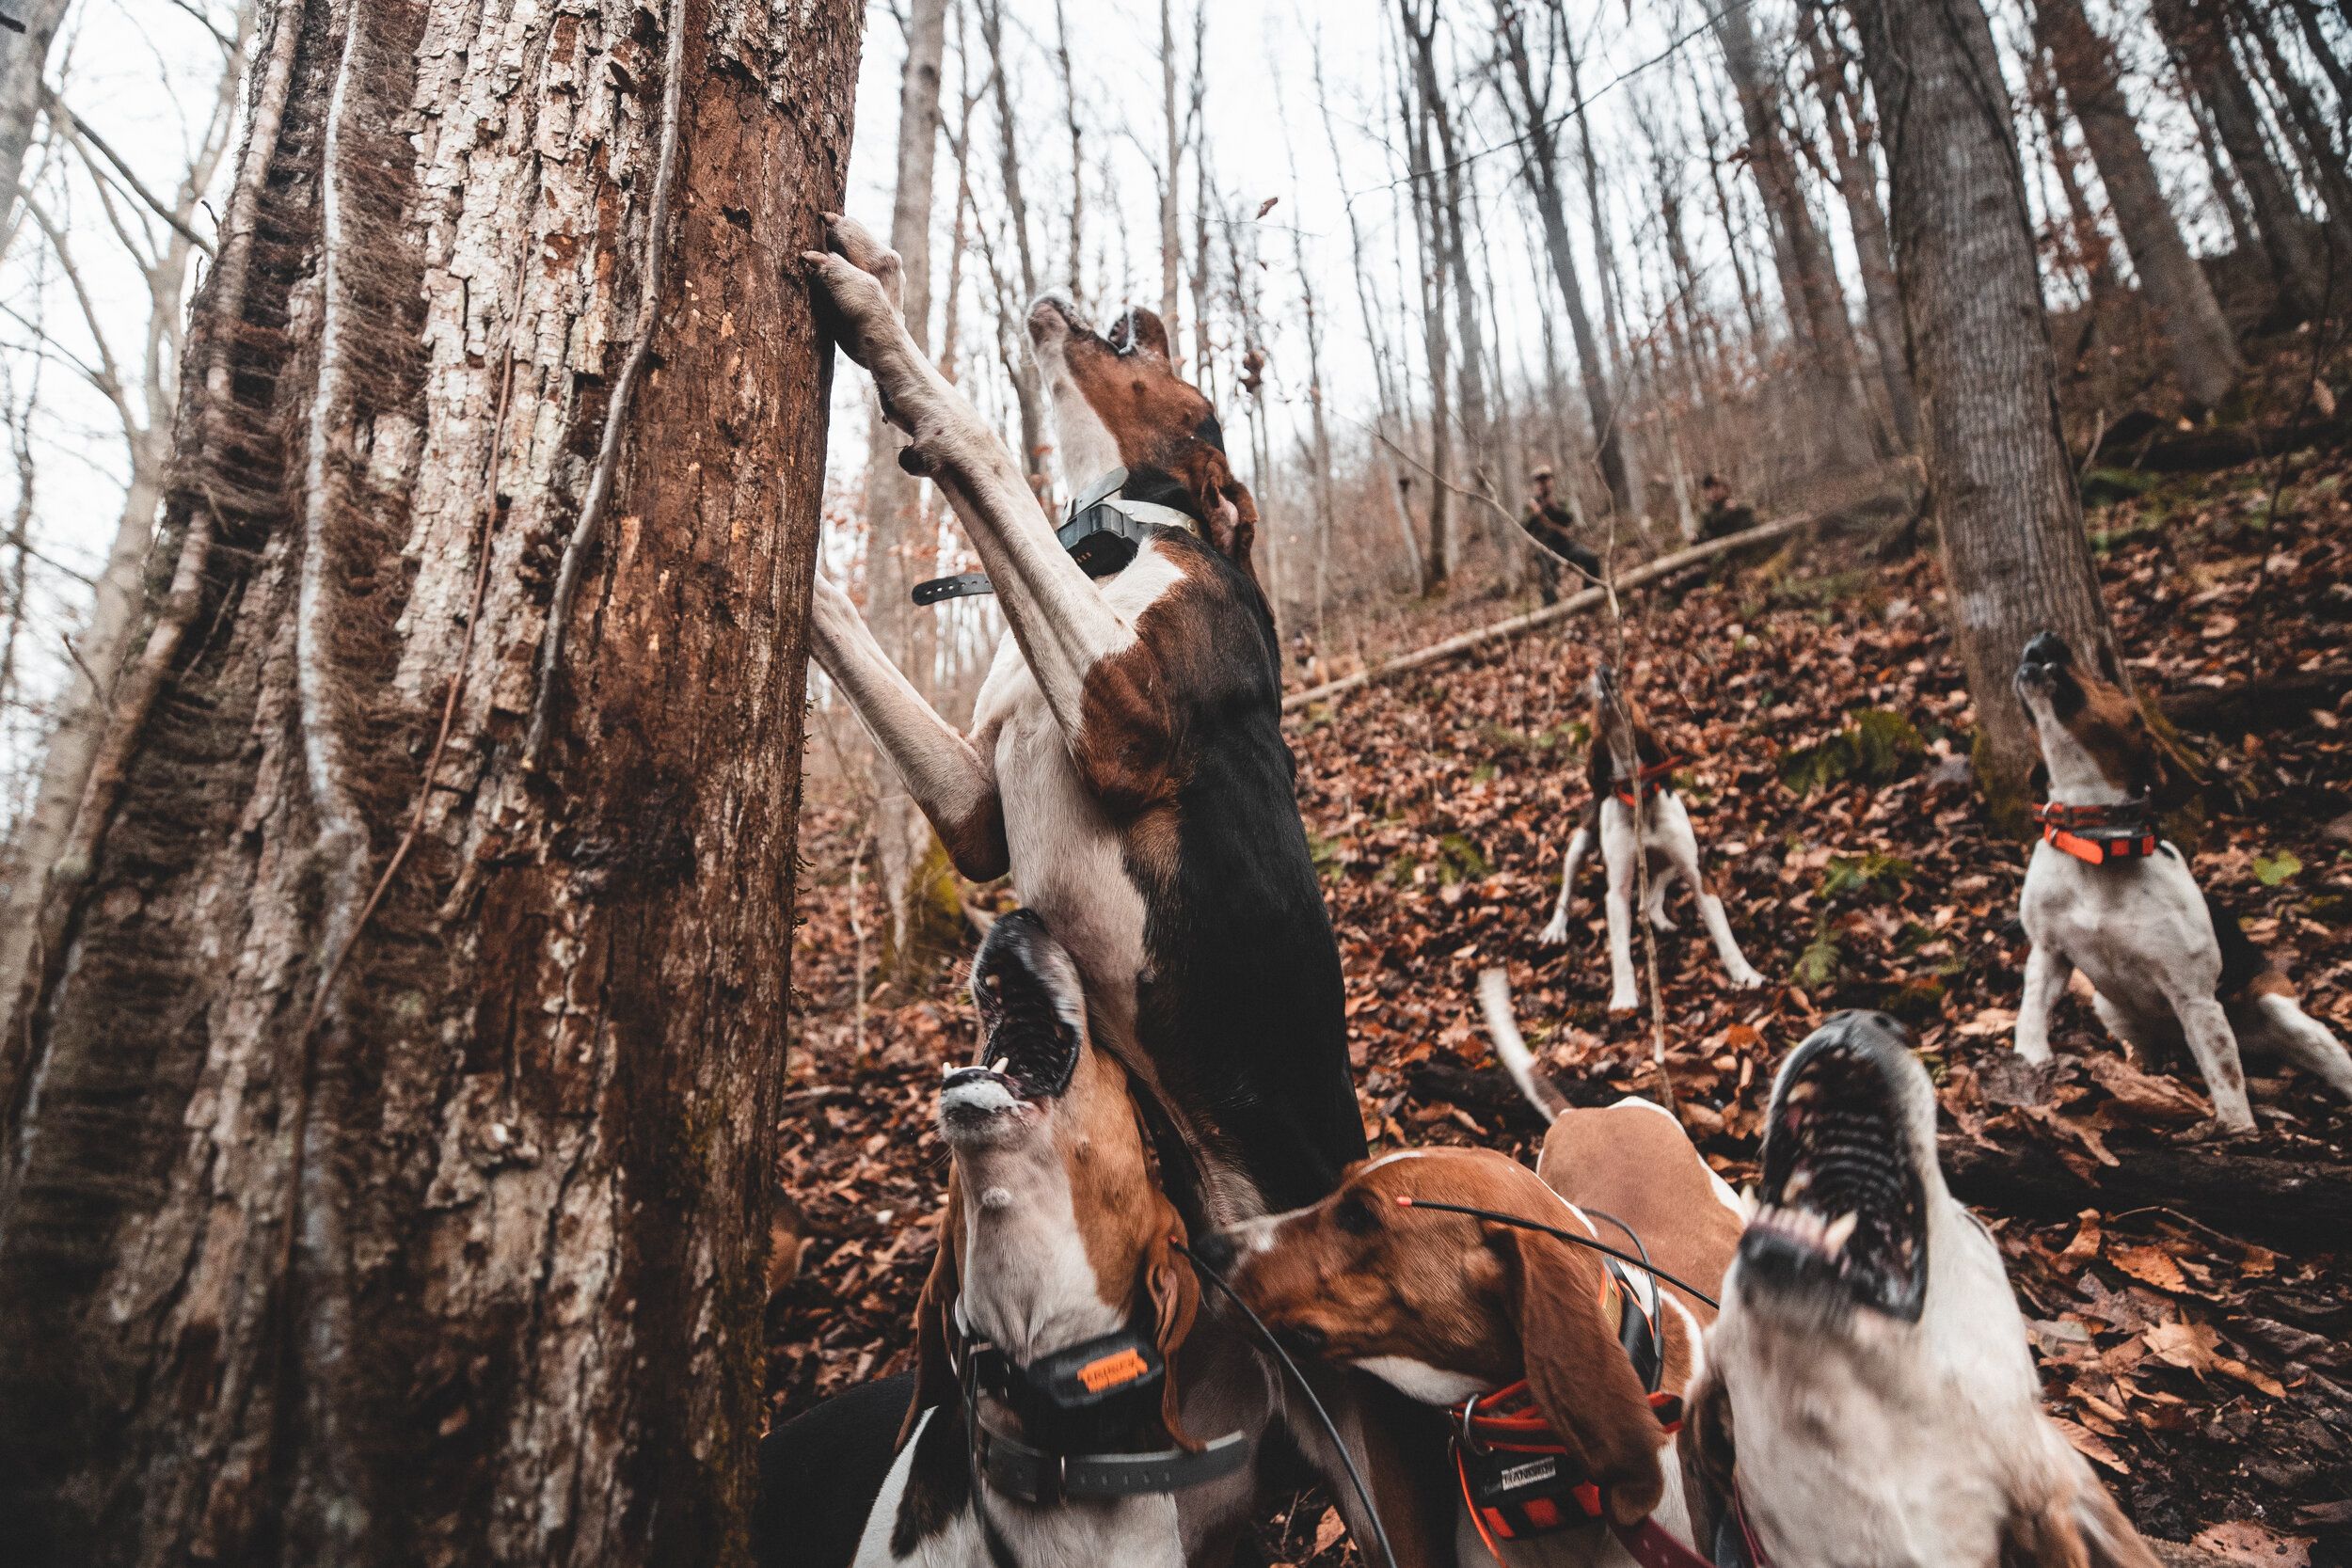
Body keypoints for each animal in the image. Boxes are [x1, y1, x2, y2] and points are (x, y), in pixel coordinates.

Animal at [804, 217, 1364, 1222]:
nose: (1147, 309)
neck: (1117, 547)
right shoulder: (974, 814)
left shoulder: (1122, 723)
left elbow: (980, 441)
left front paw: (880, 328)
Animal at [1534, 667, 1759, 1020]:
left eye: (1627, 686)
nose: (1604, 670)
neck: (1639, 796)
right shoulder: (1617, 891)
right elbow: (1620, 951)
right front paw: (1624, 998)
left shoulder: (1697, 873)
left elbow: (1724, 934)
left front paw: (1746, 975)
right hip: (1579, 845)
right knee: (1567, 892)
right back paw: (1556, 928)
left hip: (1671, 863)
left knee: (1651, 899)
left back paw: (1659, 918)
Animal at [2004, 629, 2352, 1132]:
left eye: (2110, 682)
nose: (2044, 636)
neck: (2096, 842)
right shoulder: (2048, 953)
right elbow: (2031, 1016)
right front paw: (2028, 1067)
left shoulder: (2195, 997)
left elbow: (2226, 1082)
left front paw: (2239, 1134)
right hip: (2112, 1010)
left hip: (2282, 1012)